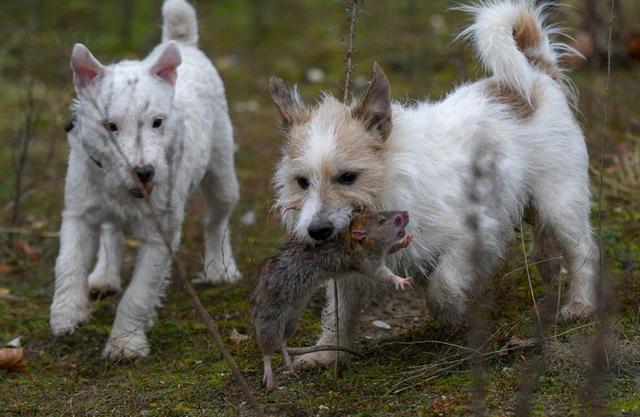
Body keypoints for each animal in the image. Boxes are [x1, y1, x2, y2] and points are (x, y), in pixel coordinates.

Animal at [51, 0, 241, 358]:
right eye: (110, 126)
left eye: (157, 122)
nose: (144, 172)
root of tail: (184, 44)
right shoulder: (78, 214)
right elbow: (69, 262)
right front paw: (67, 313)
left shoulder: (160, 236)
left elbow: (138, 294)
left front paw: (125, 344)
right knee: (111, 230)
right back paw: (104, 275)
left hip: (223, 175)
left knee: (216, 221)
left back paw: (219, 268)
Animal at [268, 0, 596, 370]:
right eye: (302, 182)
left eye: (348, 177)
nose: (317, 230)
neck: (388, 187)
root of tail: (537, 72)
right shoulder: (352, 269)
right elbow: (338, 312)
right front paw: (327, 352)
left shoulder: (474, 233)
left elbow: (443, 286)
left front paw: (455, 316)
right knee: (548, 248)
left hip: (560, 204)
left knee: (582, 251)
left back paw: (579, 304)